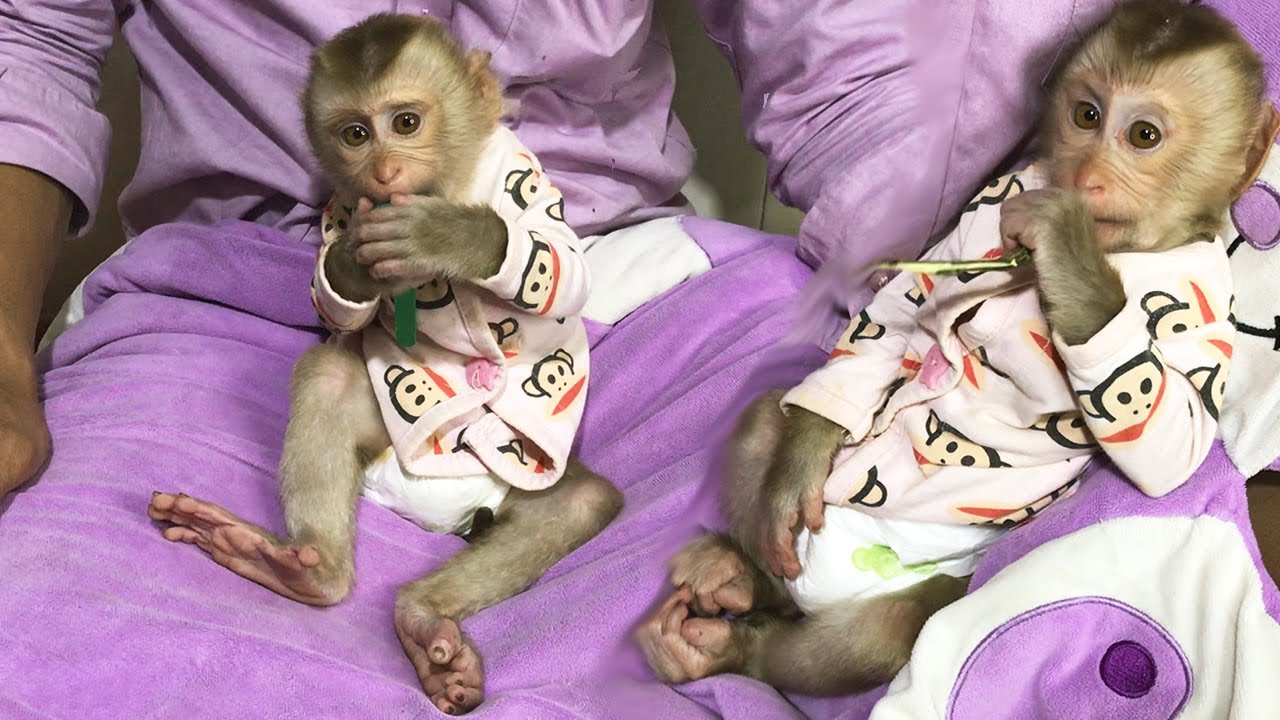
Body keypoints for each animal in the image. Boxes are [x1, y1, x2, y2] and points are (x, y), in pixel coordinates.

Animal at [147, 15, 622, 715]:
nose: (386, 169)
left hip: (517, 467)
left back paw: (423, 614)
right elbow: (334, 308)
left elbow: (563, 268)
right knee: (330, 376)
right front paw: (351, 264)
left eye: (405, 122)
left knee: (581, 503)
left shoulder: (522, 176)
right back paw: (305, 571)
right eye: (356, 134)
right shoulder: (342, 203)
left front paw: (452, 237)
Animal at [637, 0, 1279, 696]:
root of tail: (806, 593)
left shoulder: (1204, 292)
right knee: (764, 422)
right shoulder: (990, 202)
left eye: (1143, 136)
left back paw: (734, 644)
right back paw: (741, 571)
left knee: (881, 631)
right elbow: (896, 314)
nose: (1085, 178)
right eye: (1087, 116)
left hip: (919, 584)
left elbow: (1174, 443)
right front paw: (797, 474)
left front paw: (1069, 250)